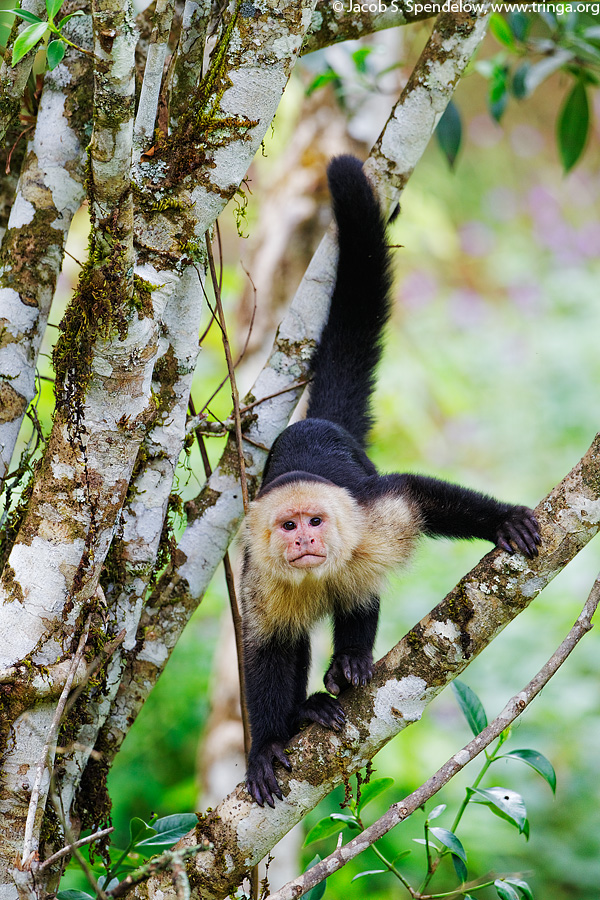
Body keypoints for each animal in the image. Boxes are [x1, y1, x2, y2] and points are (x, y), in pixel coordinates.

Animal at [240, 156, 544, 808]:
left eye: (315, 521)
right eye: (288, 525)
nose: (305, 540)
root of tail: (318, 424)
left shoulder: (373, 514)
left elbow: (417, 499)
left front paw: (503, 521)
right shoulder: (261, 572)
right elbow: (267, 647)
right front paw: (269, 744)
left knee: (360, 587)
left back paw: (350, 663)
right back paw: (307, 712)